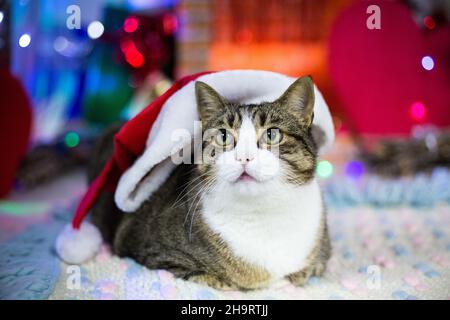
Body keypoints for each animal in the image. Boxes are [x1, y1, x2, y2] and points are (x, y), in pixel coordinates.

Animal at [89, 75, 332, 290]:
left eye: (272, 134)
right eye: (223, 136)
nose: (244, 157)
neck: (261, 214)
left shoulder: (321, 253)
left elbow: (308, 269)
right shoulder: (147, 248)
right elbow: (205, 275)